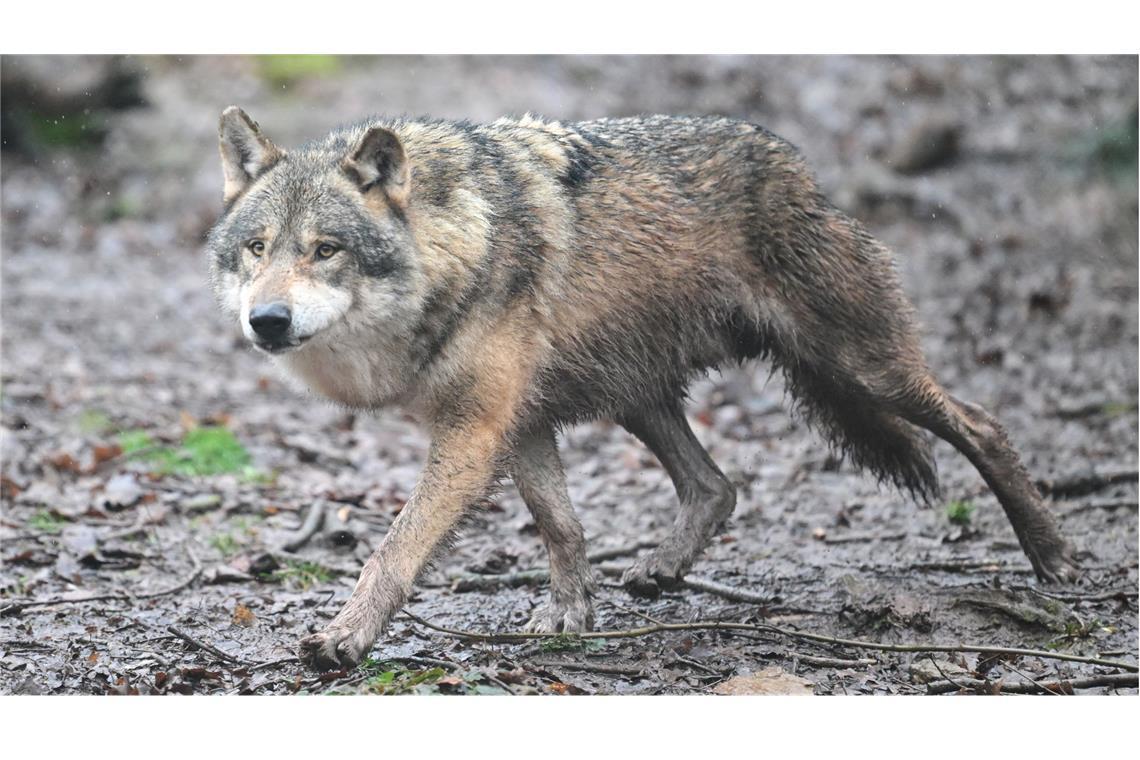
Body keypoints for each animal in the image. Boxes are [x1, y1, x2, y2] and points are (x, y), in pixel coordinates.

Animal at [206, 106, 1078, 670]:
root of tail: (799, 167)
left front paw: (344, 638)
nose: (267, 320)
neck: (456, 245)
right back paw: (661, 569)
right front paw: (569, 614)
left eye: (325, 249)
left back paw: (1053, 559)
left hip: (861, 368)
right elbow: (561, 525)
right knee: (717, 486)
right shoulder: (518, 424)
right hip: (638, 395)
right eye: (257, 248)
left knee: (983, 424)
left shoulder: (474, 431)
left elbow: (393, 550)